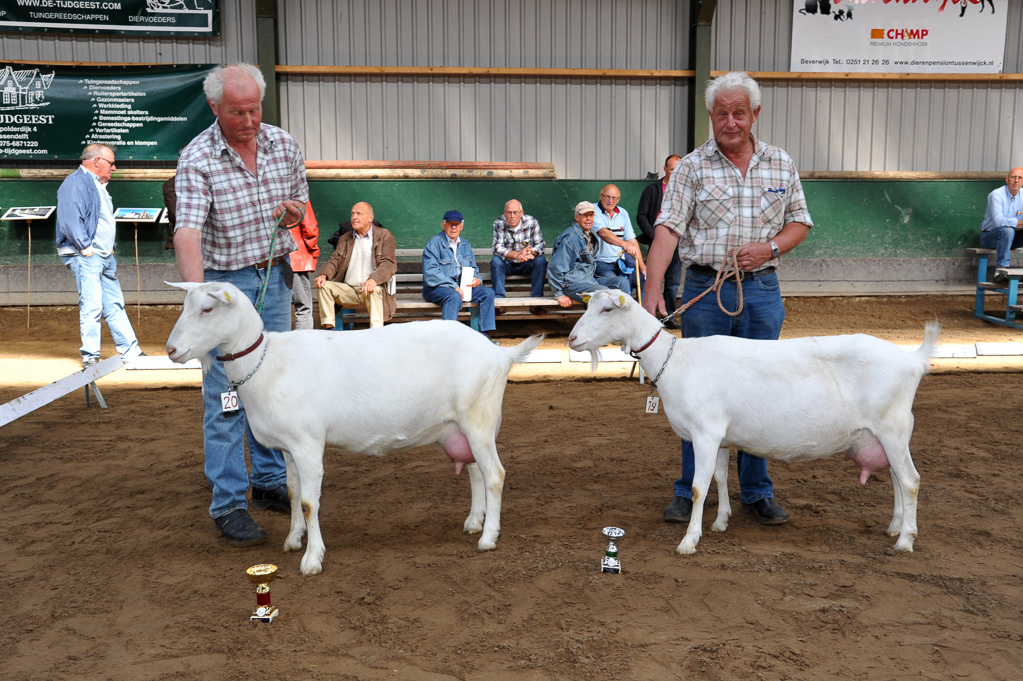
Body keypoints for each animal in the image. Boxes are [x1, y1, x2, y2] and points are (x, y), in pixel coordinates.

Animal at [165, 280, 544, 572]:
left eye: (207, 310)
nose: (171, 350)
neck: (266, 362)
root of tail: (501, 353)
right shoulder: (288, 448)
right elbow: (293, 493)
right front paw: (293, 539)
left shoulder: (307, 444)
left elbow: (309, 502)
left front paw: (312, 559)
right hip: (459, 426)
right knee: (476, 471)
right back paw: (474, 522)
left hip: (479, 418)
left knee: (494, 474)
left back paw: (488, 537)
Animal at [572, 288, 937, 556]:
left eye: (607, 310)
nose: (573, 340)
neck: (675, 360)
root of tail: (912, 359)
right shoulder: (719, 436)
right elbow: (718, 479)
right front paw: (720, 522)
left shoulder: (705, 433)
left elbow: (698, 487)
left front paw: (689, 541)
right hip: (888, 434)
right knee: (896, 479)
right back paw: (895, 526)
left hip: (893, 427)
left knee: (910, 481)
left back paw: (905, 540)